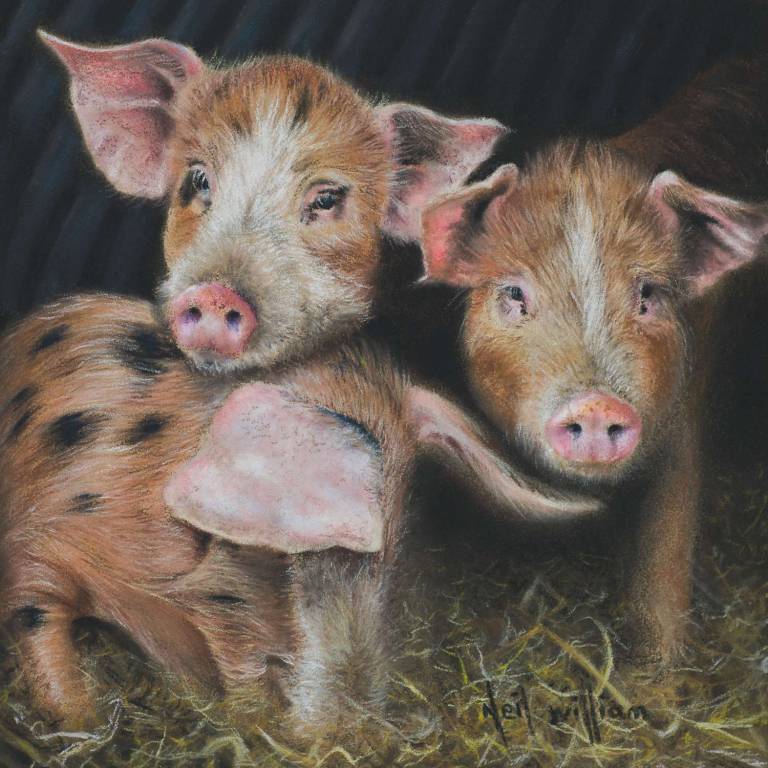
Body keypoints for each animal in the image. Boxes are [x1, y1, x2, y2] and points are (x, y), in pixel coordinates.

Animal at [0, 293, 596, 732]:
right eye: (295, 556)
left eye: (393, 551)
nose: (353, 730)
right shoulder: (35, 549)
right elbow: (40, 631)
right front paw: (84, 718)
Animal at [413, 56, 768, 663]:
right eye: (514, 293)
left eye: (648, 294)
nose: (598, 404)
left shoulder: (683, 414)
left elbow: (665, 548)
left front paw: (660, 671)